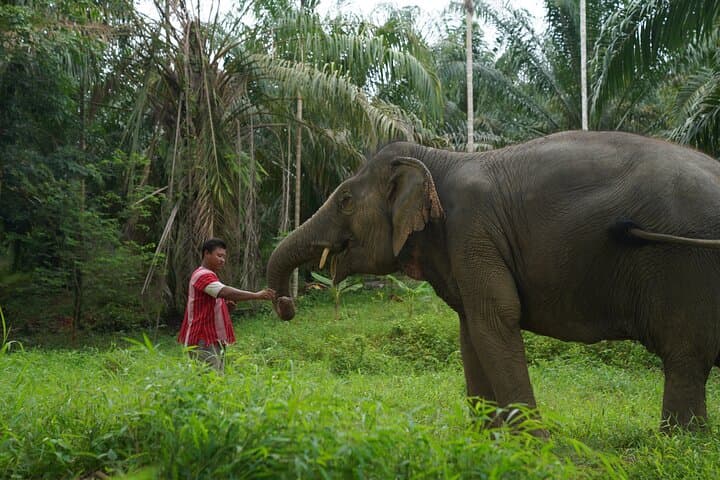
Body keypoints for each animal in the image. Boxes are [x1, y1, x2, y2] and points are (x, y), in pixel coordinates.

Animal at [267, 130, 720, 431]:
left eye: (345, 200)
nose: (285, 306)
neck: (440, 158)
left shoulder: (472, 228)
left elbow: (496, 319)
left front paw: (534, 445)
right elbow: (471, 329)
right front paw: (485, 439)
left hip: (686, 268)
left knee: (684, 358)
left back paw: (678, 441)